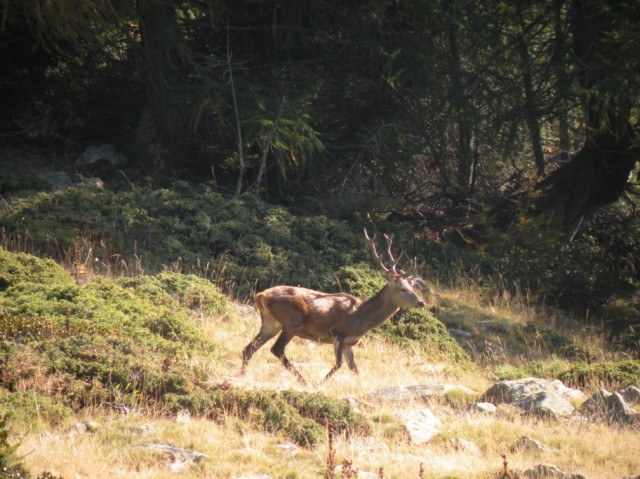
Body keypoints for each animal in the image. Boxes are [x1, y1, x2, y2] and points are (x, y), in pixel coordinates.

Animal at [240, 228, 424, 382]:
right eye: (403, 289)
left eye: (412, 287)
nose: (421, 302)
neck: (363, 318)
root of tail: (261, 296)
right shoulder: (337, 332)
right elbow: (339, 364)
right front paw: (322, 383)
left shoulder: (350, 343)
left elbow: (354, 368)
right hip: (291, 320)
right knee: (276, 349)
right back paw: (303, 380)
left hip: (271, 323)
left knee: (249, 348)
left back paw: (243, 374)